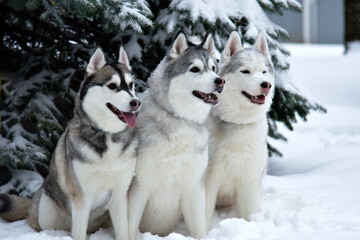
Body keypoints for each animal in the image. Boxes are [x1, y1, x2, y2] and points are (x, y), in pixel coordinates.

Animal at [0, 47, 141, 240]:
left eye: (131, 85)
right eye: (112, 86)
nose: (136, 103)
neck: (107, 135)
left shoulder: (119, 195)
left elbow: (123, 231)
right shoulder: (81, 197)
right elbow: (79, 233)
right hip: (46, 210)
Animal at [128, 32, 224, 240]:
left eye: (213, 68)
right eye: (195, 69)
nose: (220, 81)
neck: (180, 120)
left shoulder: (193, 188)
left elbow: (199, 229)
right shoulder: (139, 188)